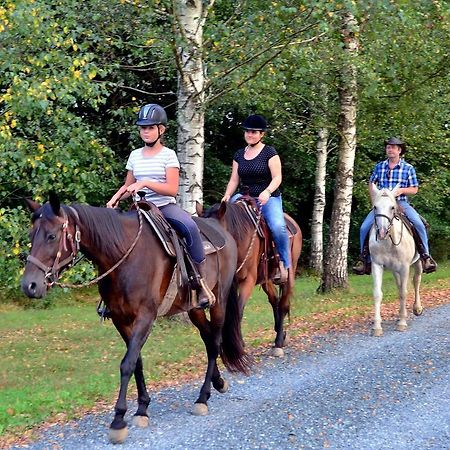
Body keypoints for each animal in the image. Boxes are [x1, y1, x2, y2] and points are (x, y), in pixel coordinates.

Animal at [20, 193, 250, 442]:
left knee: (215, 342)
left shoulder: (145, 317)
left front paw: (119, 420)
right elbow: (136, 361)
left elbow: (127, 363)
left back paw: (202, 397)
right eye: (31, 236)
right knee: (208, 339)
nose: (30, 285)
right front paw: (142, 408)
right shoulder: (121, 320)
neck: (123, 255)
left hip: (219, 300)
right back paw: (217, 383)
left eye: (52, 236)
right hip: (194, 308)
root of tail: (221, 229)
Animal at [198, 200, 300, 358]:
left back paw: (278, 343)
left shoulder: (248, 281)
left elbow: (238, 311)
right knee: (274, 300)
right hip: (266, 279)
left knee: (283, 304)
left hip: (290, 273)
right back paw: (280, 333)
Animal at [370, 185, 422, 336]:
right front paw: (377, 326)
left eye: (392, 207)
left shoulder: (405, 267)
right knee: (399, 286)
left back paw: (417, 308)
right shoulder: (377, 265)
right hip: (394, 270)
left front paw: (402, 323)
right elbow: (378, 294)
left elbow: (404, 292)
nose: (381, 232)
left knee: (416, 280)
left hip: (418, 263)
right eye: (375, 207)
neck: (388, 242)